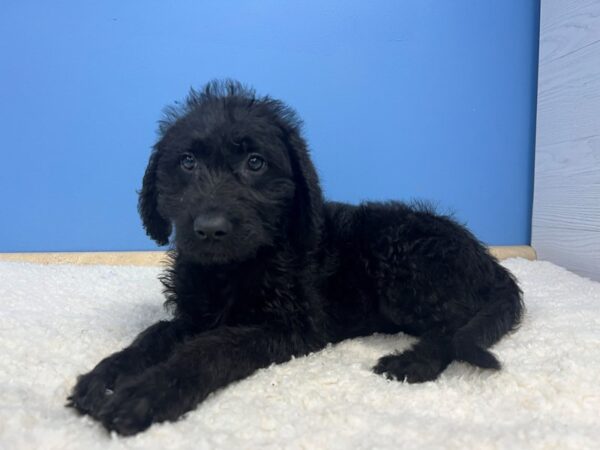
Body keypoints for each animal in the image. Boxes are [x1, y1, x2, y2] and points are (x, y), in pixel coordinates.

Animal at [68, 81, 524, 436]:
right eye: (187, 161)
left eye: (255, 163)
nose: (211, 229)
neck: (233, 269)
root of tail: (489, 261)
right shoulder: (195, 315)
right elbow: (153, 336)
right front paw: (107, 376)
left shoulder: (293, 326)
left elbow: (211, 348)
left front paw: (148, 394)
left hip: (404, 262)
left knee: (452, 326)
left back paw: (414, 360)